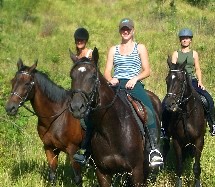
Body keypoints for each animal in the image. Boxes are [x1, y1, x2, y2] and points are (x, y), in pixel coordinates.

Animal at [4, 58, 84, 186]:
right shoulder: (50, 148)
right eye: (13, 81)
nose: (10, 108)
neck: (56, 118)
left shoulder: (73, 151)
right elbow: (52, 175)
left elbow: (77, 178)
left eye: (27, 83)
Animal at [69, 47, 161, 186]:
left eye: (93, 76)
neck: (112, 130)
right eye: (72, 76)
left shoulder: (136, 171)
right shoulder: (102, 172)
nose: (76, 107)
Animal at [162, 56, 206, 187]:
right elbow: (179, 167)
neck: (186, 114)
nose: (169, 104)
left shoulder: (199, 141)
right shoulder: (177, 141)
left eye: (181, 81)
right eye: (167, 80)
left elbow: (196, 167)